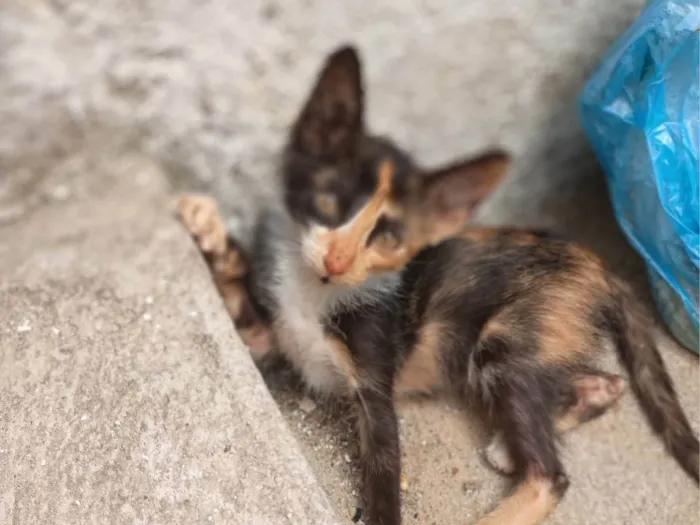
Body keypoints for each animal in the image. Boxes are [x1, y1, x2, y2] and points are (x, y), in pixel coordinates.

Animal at [176, 46, 700, 524]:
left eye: (389, 237)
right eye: (326, 202)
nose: (336, 261)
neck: (317, 289)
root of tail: (594, 260)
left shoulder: (376, 389)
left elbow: (384, 476)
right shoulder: (270, 337)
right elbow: (247, 318)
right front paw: (209, 230)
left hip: (506, 339)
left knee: (550, 476)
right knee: (608, 381)